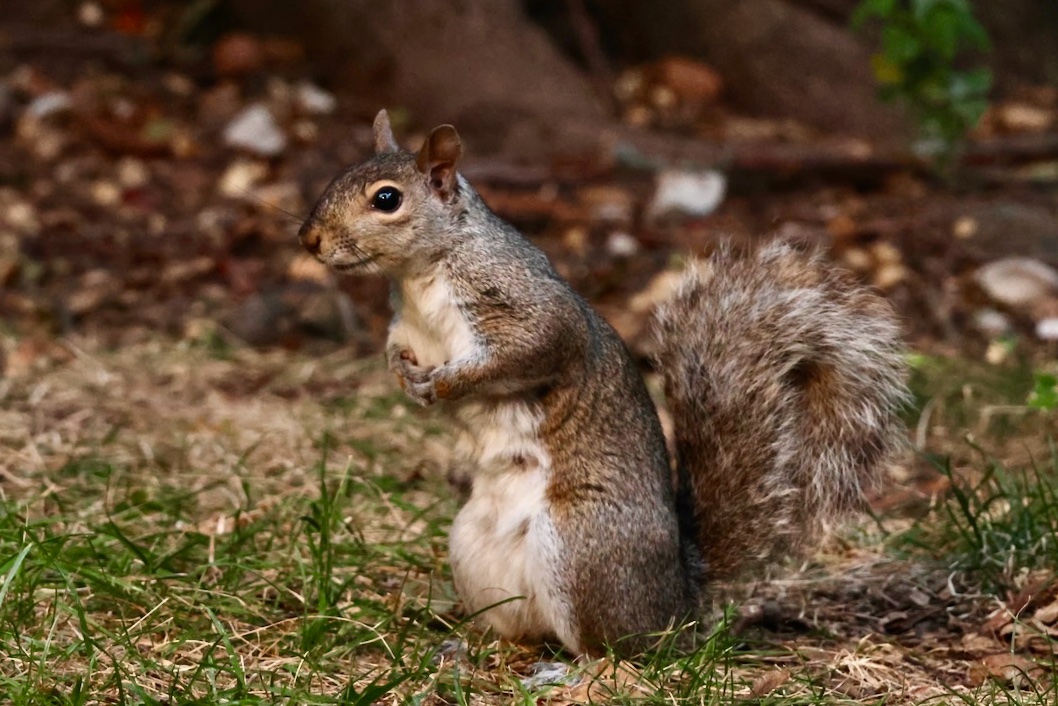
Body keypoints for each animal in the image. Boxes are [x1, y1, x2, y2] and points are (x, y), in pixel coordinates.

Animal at [298, 109, 909, 657]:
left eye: (386, 200)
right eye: (337, 177)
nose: (309, 239)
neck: (421, 275)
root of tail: (677, 607)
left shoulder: (527, 308)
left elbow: (531, 349)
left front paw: (446, 384)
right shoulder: (404, 326)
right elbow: (393, 350)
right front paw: (404, 377)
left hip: (581, 548)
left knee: (611, 649)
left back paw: (577, 674)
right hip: (473, 546)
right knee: (525, 629)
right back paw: (468, 645)